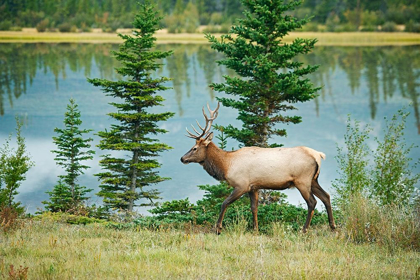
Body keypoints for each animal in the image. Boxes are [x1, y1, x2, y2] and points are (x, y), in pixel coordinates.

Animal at [179, 103, 336, 234]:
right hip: (314, 180)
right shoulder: (253, 187)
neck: (227, 165)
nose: (182, 158)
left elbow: (224, 203)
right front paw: (255, 229)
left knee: (312, 202)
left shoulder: (241, 184)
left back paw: (304, 230)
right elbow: (254, 208)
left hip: (302, 180)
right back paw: (333, 226)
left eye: (194, 148)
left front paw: (218, 228)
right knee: (326, 196)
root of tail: (318, 155)